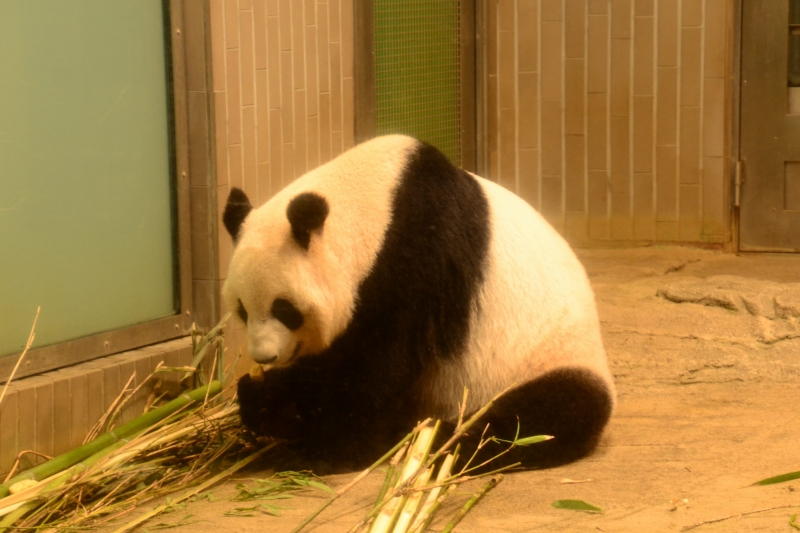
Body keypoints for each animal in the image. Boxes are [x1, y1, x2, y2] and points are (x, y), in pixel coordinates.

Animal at [222, 135, 616, 472]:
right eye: (242, 309)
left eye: (284, 309)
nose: (264, 356)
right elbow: (329, 365)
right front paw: (262, 398)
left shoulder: (416, 261)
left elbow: (377, 365)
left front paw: (330, 450)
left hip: (546, 362)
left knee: (545, 415)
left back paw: (446, 439)